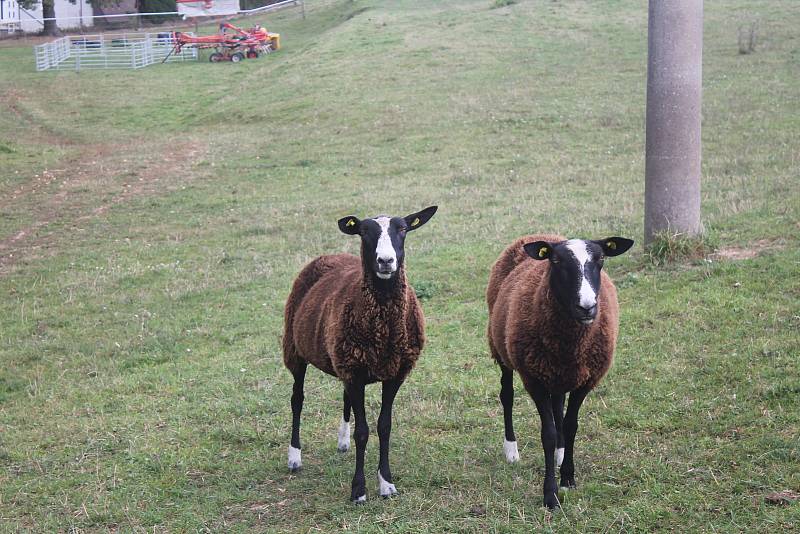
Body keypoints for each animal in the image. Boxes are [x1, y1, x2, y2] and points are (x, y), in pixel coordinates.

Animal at [282, 207, 438, 504]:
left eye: (403, 229)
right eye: (364, 232)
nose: (386, 261)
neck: (384, 324)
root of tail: (329, 255)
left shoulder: (393, 372)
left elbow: (384, 427)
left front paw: (386, 484)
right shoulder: (354, 372)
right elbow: (363, 432)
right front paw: (359, 490)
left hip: (343, 358)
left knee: (344, 399)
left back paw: (342, 442)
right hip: (295, 350)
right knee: (297, 399)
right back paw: (294, 457)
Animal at [484, 234, 636, 510]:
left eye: (601, 259)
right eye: (555, 261)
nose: (587, 307)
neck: (572, 344)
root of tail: (537, 236)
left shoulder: (586, 379)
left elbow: (571, 425)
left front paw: (567, 477)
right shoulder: (533, 380)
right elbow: (548, 434)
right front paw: (550, 494)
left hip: (559, 373)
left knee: (558, 405)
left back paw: (560, 454)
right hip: (501, 349)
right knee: (507, 396)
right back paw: (511, 450)